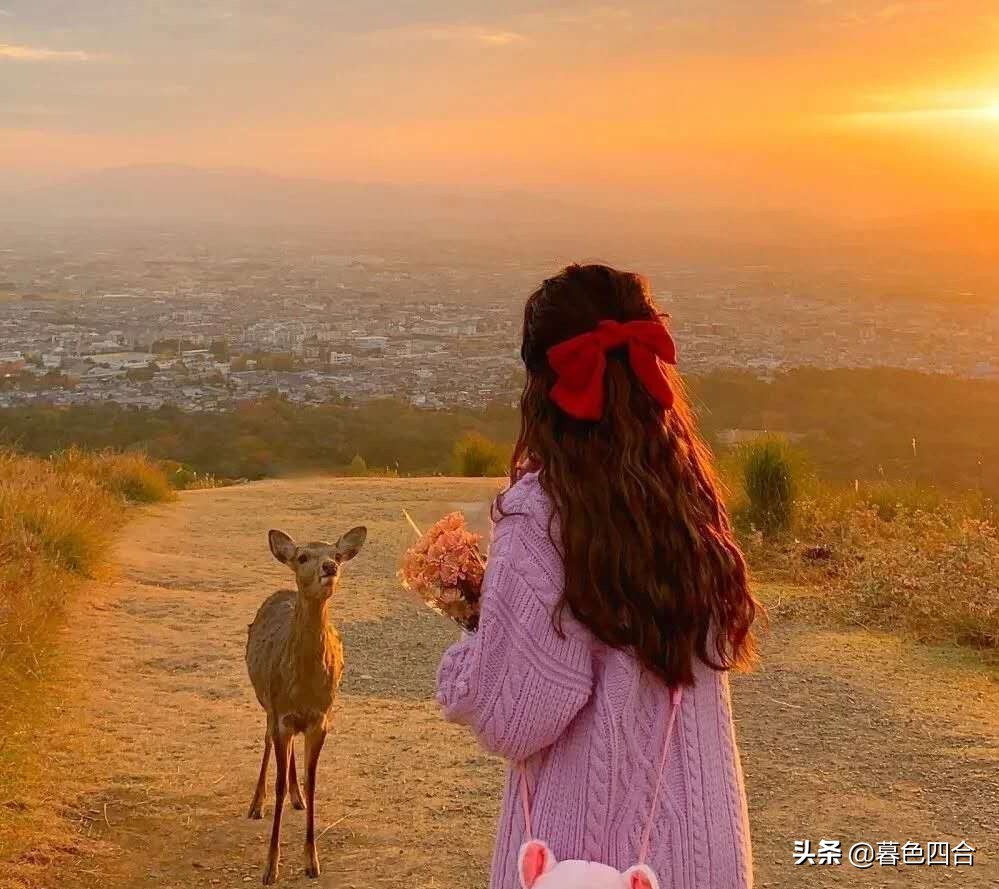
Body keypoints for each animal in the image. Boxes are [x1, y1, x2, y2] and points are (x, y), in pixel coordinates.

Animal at [246, 524, 368, 884]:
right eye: (302, 557)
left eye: (337, 554)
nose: (330, 567)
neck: (302, 687)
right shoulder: (281, 714)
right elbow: (277, 784)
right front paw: (270, 867)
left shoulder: (321, 719)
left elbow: (313, 783)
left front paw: (312, 861)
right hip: (266, 703)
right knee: (267, 744)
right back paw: (255, 804)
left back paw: (296, 797)